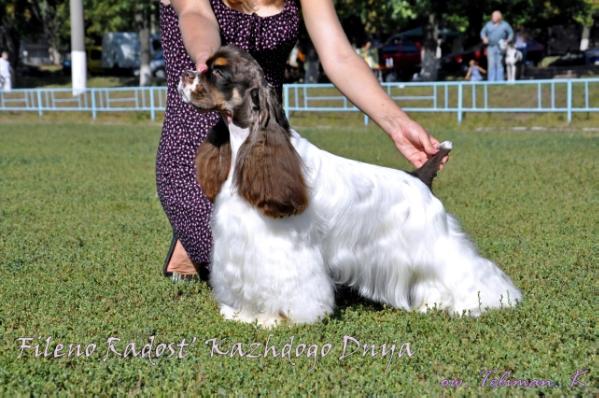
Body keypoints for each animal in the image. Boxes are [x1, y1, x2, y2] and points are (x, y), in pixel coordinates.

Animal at [178, 46, 520, 326]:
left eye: (218, 72)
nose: (183, 74)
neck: (250, 147)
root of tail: (419, 176)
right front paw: (243, 314)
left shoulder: (284, 248)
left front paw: (278, 319)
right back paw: (430, 306)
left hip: (435, 240)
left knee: (469, 270)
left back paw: (488, 301)